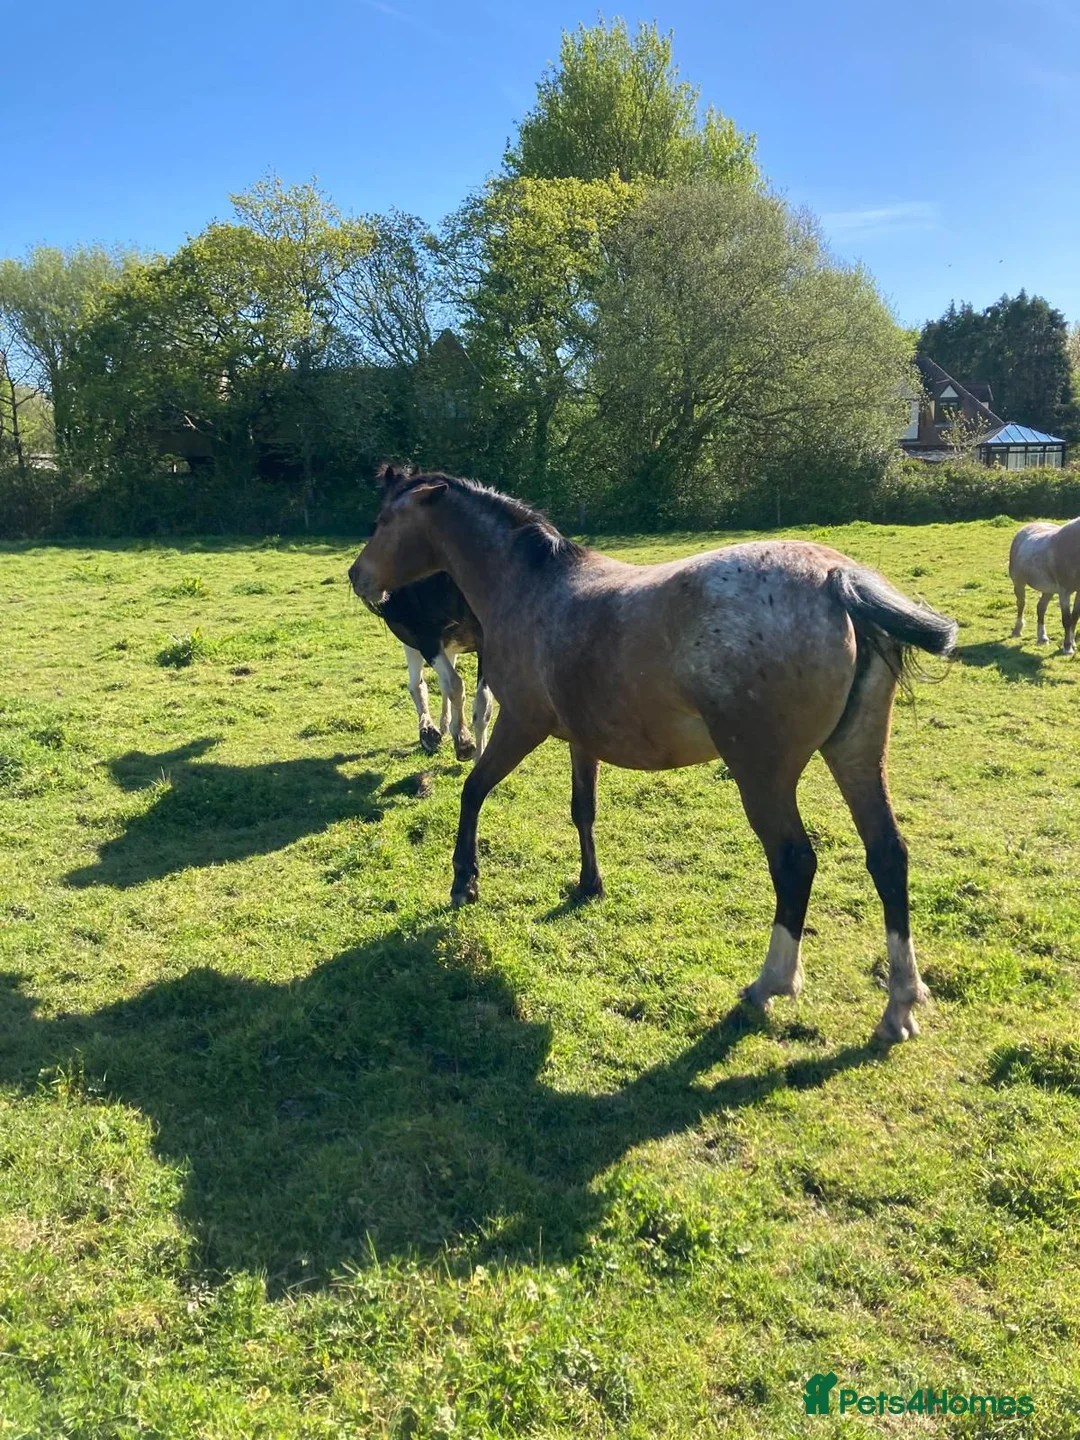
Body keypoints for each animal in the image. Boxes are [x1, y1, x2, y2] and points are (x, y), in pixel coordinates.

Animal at [362, 572, 494, 760]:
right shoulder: (424, 637)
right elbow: (454, 685)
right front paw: (464, 742)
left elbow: (483, 705)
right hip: (411, 636)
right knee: (418, 684)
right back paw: (429, 733)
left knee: (442, 683)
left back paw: (444, 726)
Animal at [1009, 518, 1080, 655]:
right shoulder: (1064, 592)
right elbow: (1067, 619)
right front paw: (1067, 647)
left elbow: (1075, 617)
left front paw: (1073, 644)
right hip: (1019, 583)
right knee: (1021, 604)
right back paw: (1017, 630)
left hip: (1048, 590)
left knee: (1040, 608)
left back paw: (1042, 637)